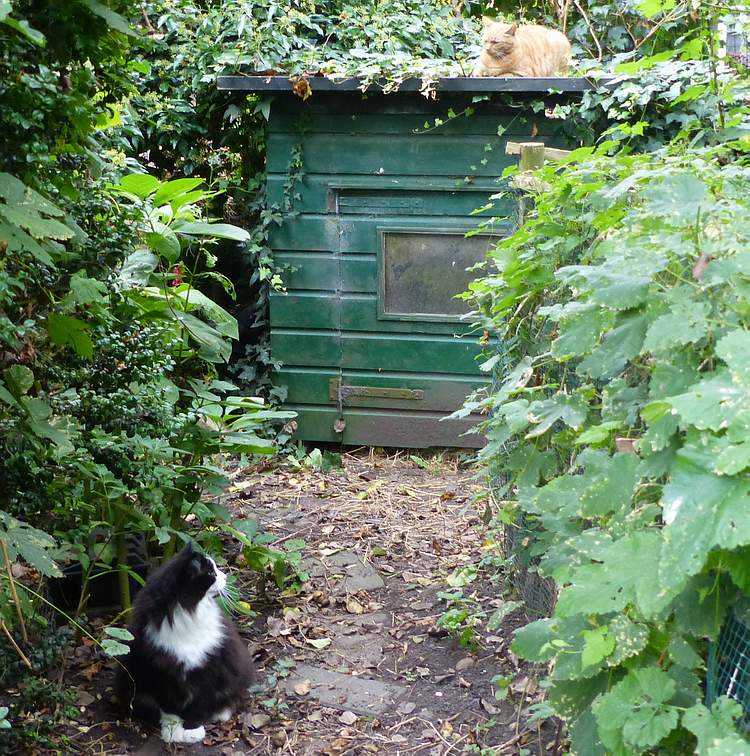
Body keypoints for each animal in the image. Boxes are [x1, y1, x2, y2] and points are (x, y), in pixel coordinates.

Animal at [115, 542, 255, 744]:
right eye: (211, 573)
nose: (225, 576)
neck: (186, 613)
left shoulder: (207, 670)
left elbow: (199, 705)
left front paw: (192, 730)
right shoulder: (162, 673)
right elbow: (170, 709)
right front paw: (172, 731)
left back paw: (220, 713)